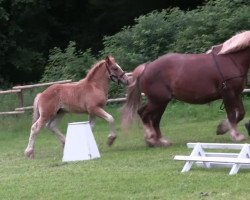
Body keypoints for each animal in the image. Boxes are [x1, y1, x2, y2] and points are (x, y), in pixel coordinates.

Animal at [122, 30, 250, 147]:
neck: (230, 59)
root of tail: (146, 67)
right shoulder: (228, 93)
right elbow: (232, 115)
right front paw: (236, 135)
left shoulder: (236, 94)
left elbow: (241, 113)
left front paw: (222, 128)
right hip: (158, 101)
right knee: (144, 114)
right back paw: (151, 139)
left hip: (161, 102)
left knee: (154, 119)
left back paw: (160, 140)